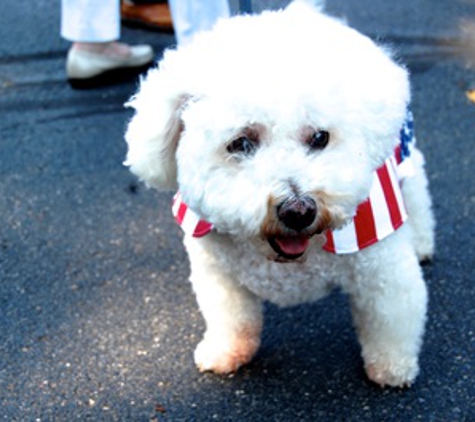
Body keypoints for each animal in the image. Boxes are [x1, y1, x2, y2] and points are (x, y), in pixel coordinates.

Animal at [125, 0, 436, 390]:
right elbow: (231, 317)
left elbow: (391, 317)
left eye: (319, 138)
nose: (298, 210)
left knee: (417, 187)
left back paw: (422, 242)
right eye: (241, 143)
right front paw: (225, 352)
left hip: (403, 152)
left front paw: (392, 368)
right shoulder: (218, 274)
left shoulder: (382, 269)